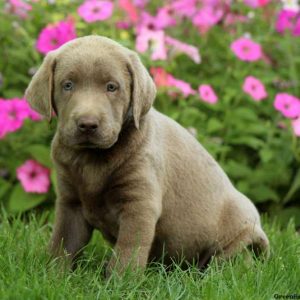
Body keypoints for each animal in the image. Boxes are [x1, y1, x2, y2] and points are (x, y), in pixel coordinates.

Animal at [25, 35, 270, 276]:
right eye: (67, 85)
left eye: (112, 87)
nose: (87, 124)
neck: (92, 158)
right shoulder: (71, 201)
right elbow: (63, 242)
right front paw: (54, 275)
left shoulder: (139, 203)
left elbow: (129, 249)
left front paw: (121, 281)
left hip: (238, 236)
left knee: (234, 263)